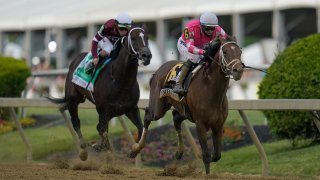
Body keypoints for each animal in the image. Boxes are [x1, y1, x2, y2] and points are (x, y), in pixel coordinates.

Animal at [47, 27, 152, 162]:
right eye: (133, 38)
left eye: (147, 37)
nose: (147, 55)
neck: (120, 80)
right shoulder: (103, 109)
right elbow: (102, 131)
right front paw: (101, 148)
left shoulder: (130, 108)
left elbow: (140, 129)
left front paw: (133, 151)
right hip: (72, 100)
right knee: (76, 122)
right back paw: (83, 151)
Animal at [129, 35, 242, 174]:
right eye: (225, 52)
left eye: (240, 51)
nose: (238, 70)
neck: (210, 88)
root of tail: (158, 70)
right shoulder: (200, 124)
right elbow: (206, 155)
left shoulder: (218, 124)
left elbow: (216, 155)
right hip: (158, 108)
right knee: (147, 116)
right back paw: (136, 148)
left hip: (183, 110)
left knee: (176, 118)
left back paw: (179, 152)